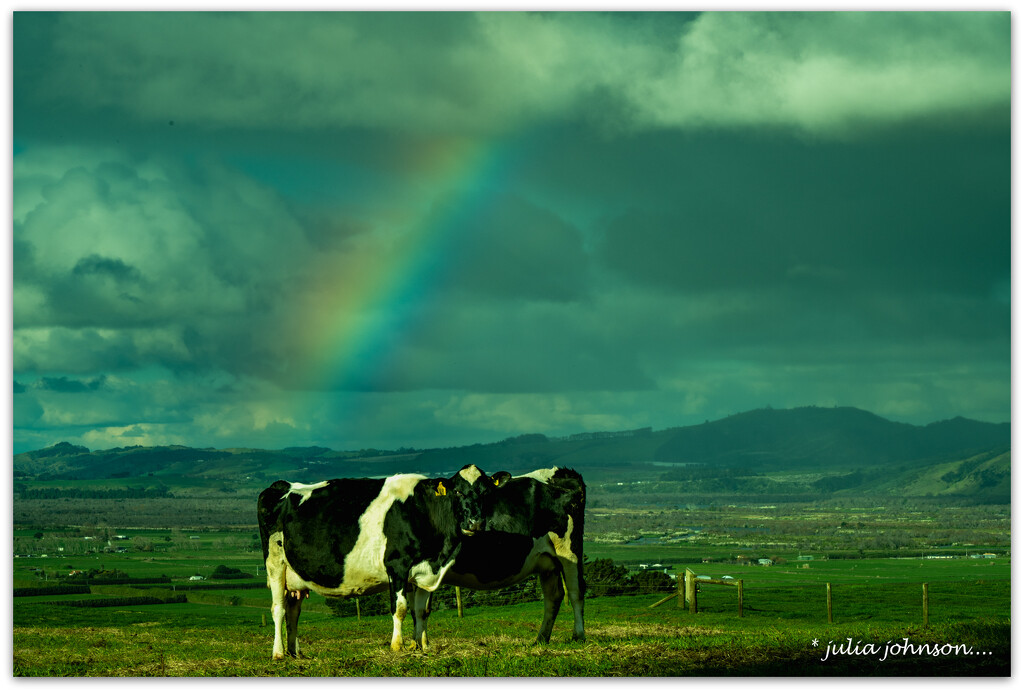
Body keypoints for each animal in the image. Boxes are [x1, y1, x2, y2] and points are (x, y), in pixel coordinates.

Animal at [256, 464, 495, 659]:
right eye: (457, 491)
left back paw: (295, 653)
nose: (475, 522)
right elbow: (400, 608)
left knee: (293, 611)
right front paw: (397, 646)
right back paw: (278, 654)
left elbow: (421, 611)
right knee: (278, 609)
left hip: (295, 576)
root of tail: (282, 485)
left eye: (485, 492)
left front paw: (422, 646)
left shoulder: (425, 571)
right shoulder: (397, 565)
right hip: (275, 564)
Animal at [407, 464, 585, 646]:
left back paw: (578, 636)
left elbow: (422, 609)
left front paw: (422, 643)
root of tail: (561, 472)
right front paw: (415, 644)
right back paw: (541, 639)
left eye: (485, 493)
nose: (475, 523)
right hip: (548, 562)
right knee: (553, 596)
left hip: (570, 552)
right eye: (457, 491)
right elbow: (413, 609)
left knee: (576, 591)